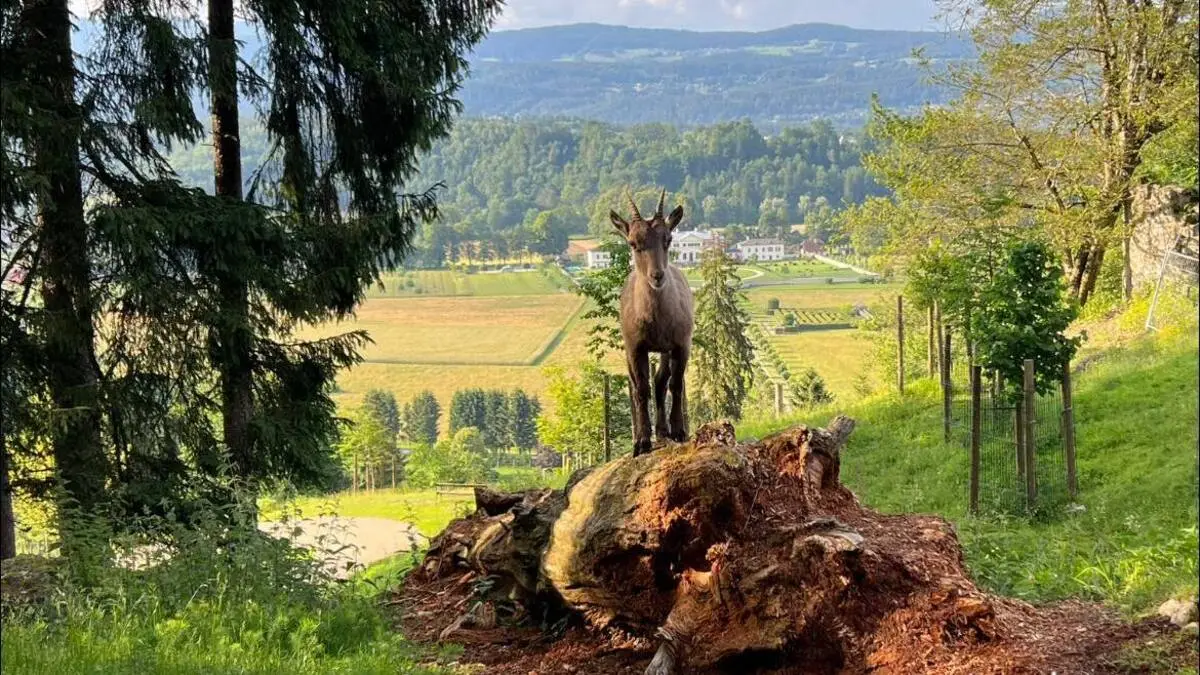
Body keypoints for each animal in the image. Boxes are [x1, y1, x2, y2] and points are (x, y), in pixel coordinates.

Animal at [610, 189, 694, 457]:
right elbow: (641, 389)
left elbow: (675, 384)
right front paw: (642, 442)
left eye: (668, 239)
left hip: (665, 350)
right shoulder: (636, 347)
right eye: (632, 243)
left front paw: (678, 431)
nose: (657, 276)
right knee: (637, 385)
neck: (657, 320)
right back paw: (643, 434)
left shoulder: (681, 344)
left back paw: (663, 430)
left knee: (660, 381)